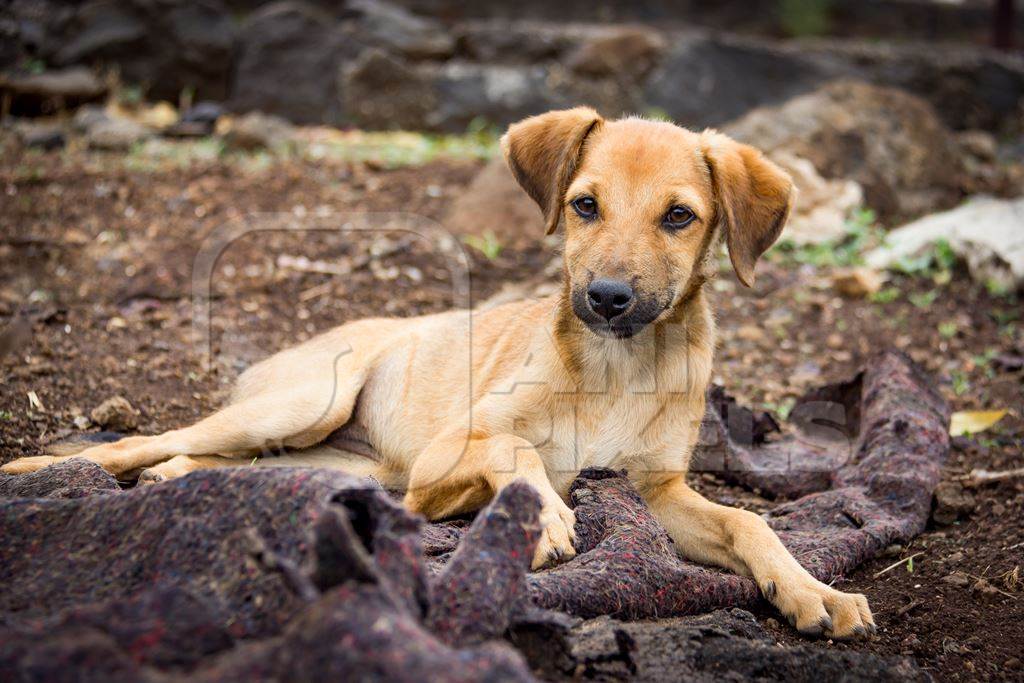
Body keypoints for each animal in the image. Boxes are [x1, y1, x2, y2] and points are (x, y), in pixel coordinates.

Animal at [6, 108, 872, 643]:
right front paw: (545, 517)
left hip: (345, 462)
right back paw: (48, 469)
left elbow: (752, 524)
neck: (616, 365)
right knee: (145, 440)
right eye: (584, 205)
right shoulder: (443, 457)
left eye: (679, 217)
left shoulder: (659, 491)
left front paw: (813, 591)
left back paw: (177, 481)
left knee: (226, 464)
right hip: (308, 403)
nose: (606, 297)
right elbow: (516, 451)